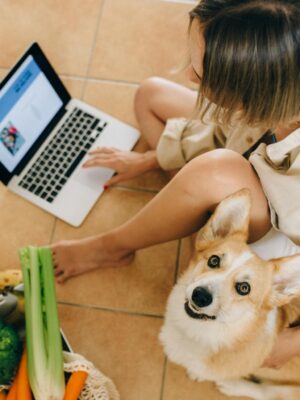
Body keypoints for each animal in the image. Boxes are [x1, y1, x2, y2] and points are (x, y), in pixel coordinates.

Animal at [161, 189, 300, 398]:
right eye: (214, 260)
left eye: (244, 288)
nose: (200, 296)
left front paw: (198, 374)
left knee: (270, 392)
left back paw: (232, 385)